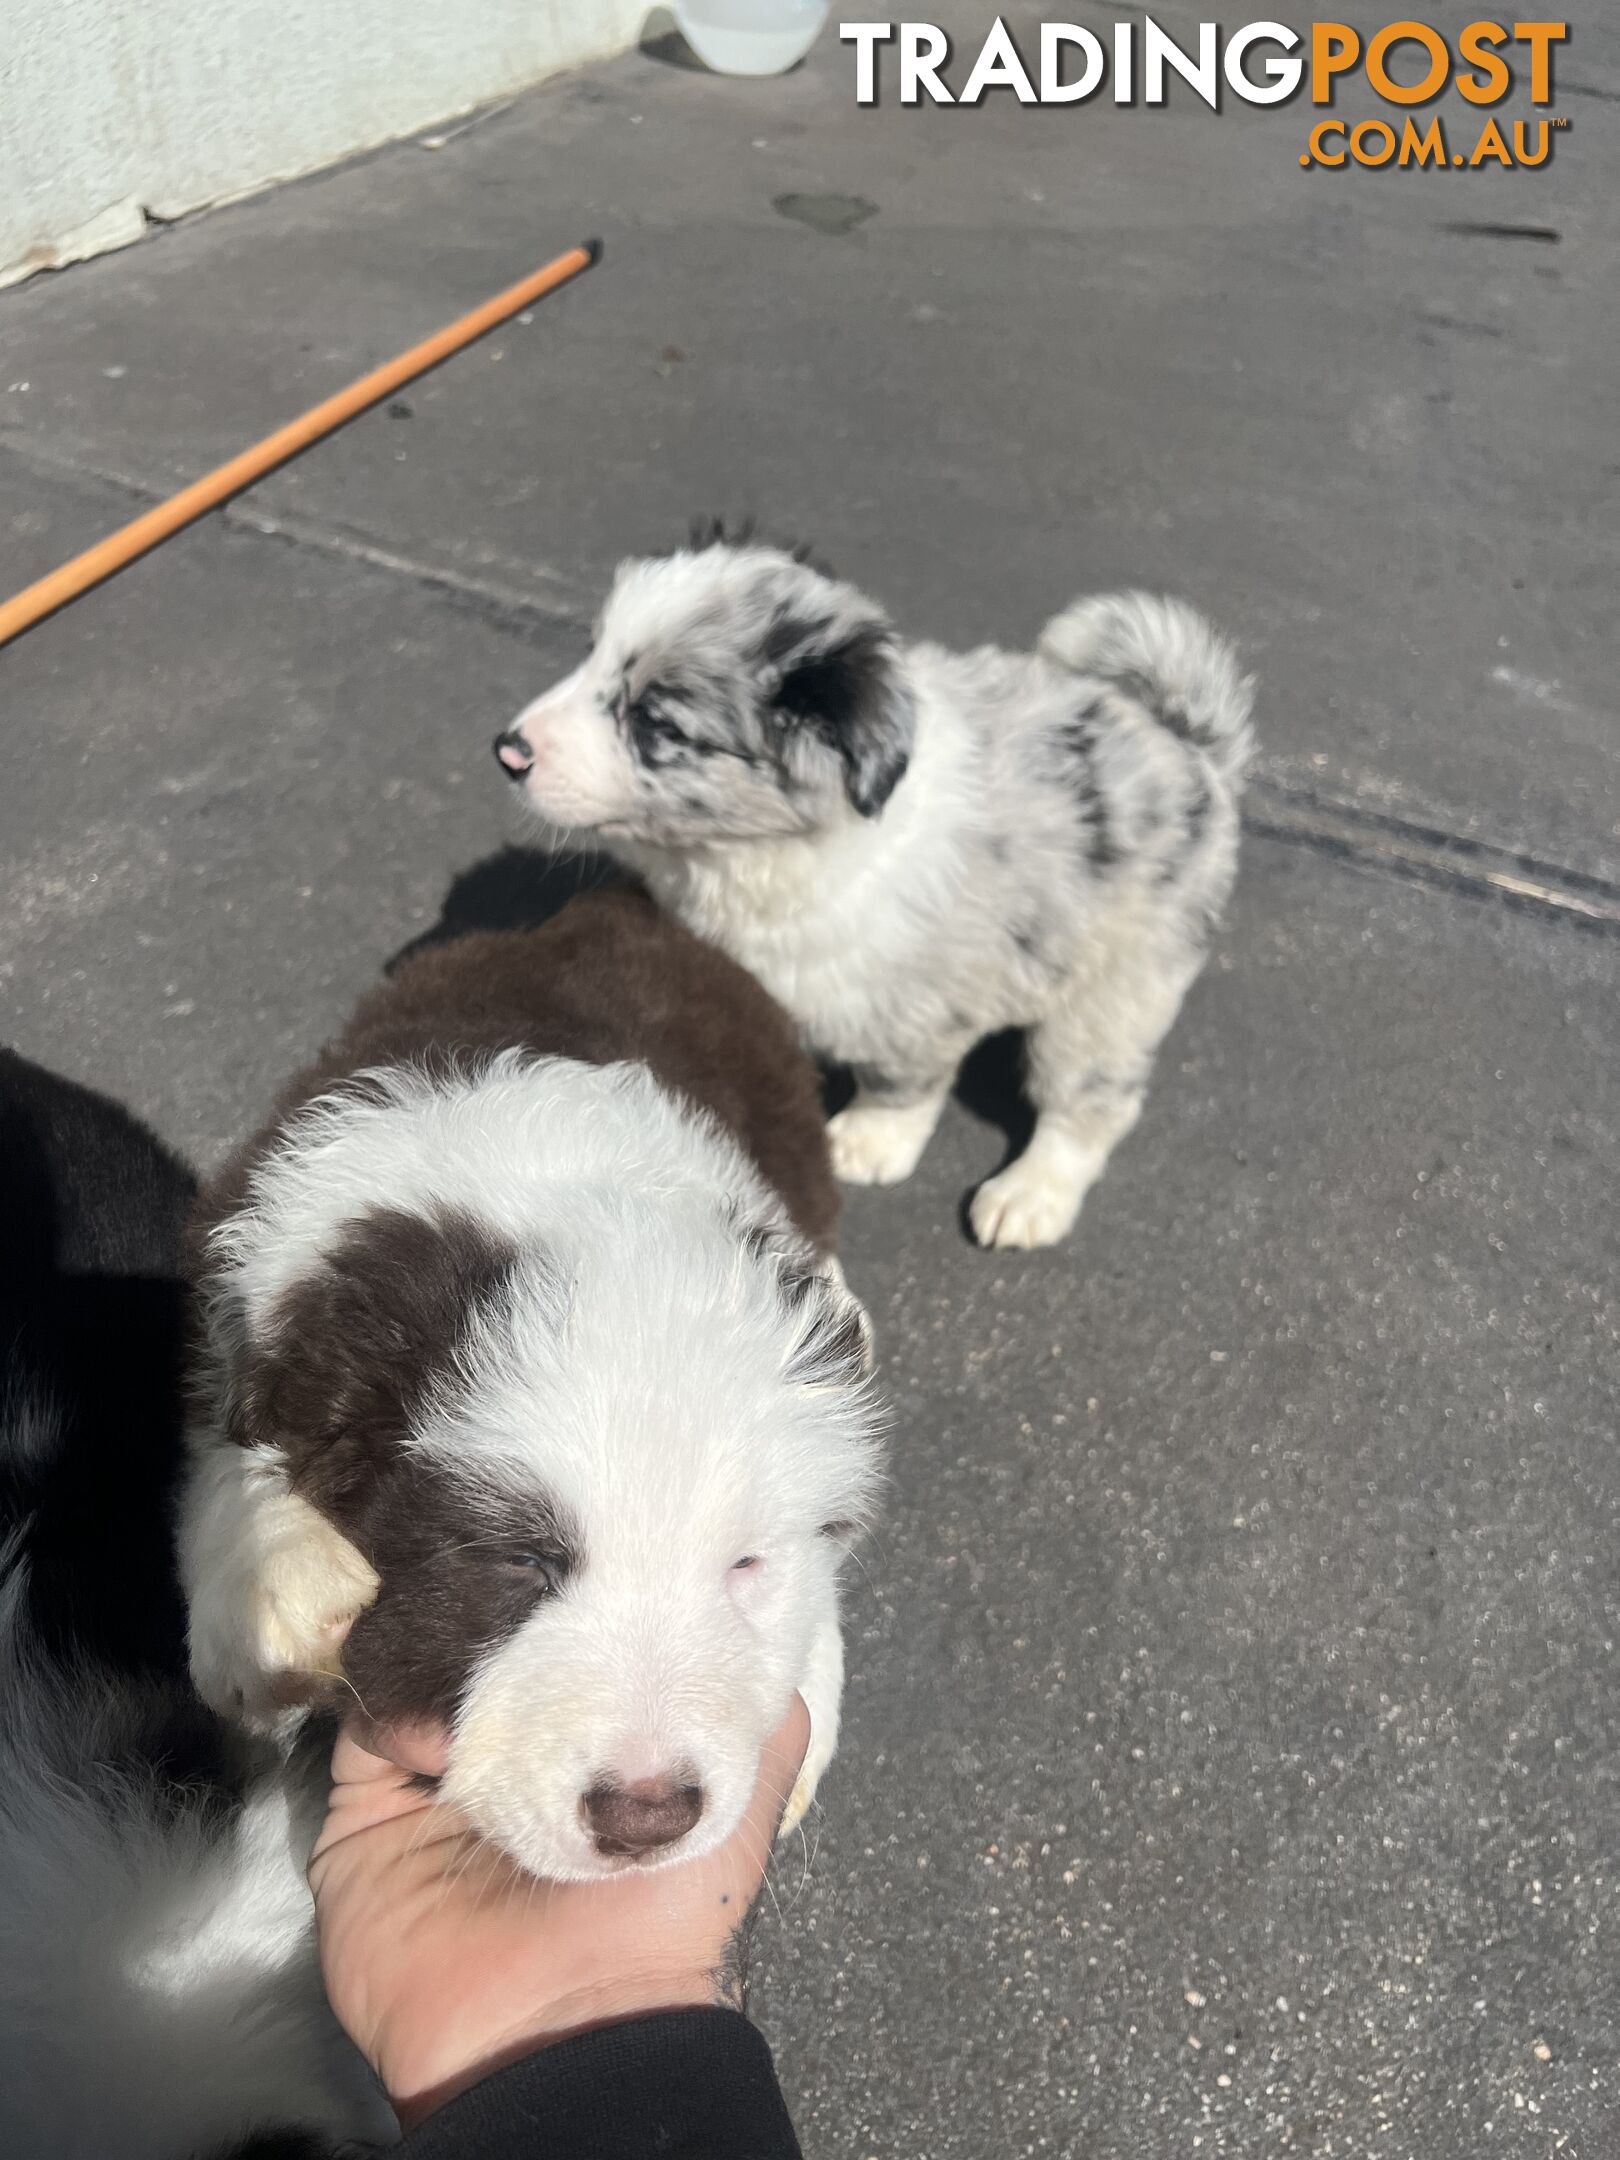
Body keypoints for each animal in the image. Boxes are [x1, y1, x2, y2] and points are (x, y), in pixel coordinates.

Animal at [182, 885, 881, 1883]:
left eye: (744, 1564)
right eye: (521, 1562)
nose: (646, 1817)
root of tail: (609, 902)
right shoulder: (249, 1287)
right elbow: (226, 1445)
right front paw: (276, 1592)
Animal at [494, 527, 1252, 1252]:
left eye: (654, 721)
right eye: (590, 654)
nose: (508, 751)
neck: (761, 855)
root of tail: (1190, 744)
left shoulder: (918, 1003)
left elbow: (898, 1085)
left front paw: (865, 1141)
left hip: (1113, 994)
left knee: (1091, 1103)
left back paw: (1031, 1195)